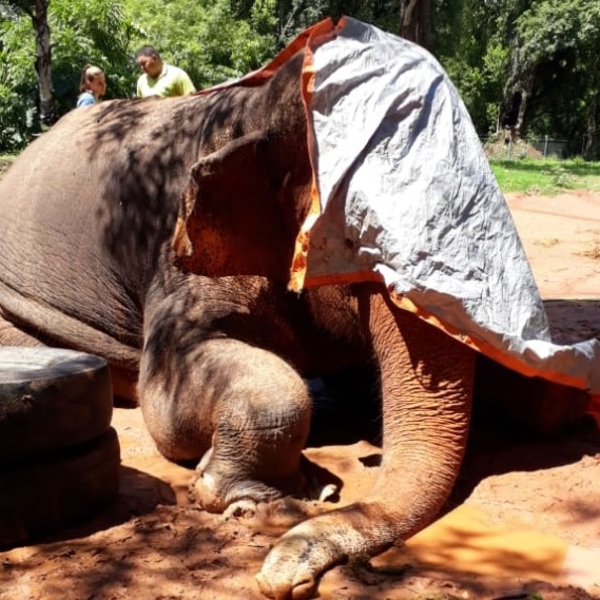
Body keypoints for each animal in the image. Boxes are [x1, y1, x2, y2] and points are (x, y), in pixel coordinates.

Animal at [0, 30, 592, 600]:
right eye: (353, 239)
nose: (285, 581)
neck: (262, 104)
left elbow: (539, 396)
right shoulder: (179, 246)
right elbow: (167, 403)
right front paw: (264, 502)